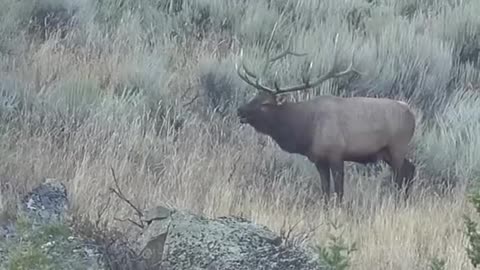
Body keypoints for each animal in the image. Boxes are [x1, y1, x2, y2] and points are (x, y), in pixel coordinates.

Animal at [236, 36, 416, 205]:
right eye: (255, 95)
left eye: (265, 103)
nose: (240, 110)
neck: (305, 130)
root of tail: (412, 115)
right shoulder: (319, 160)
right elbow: (325, 191)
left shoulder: (336, 154)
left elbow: (339, 191)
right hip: (386, 152)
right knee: (410, 169)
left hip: (397, 146)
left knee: (401, 175)